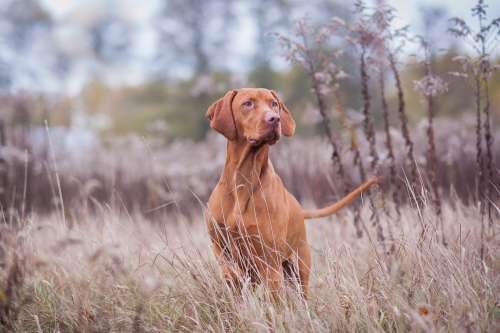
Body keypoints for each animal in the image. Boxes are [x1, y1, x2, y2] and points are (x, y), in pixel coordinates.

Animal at [205, 87, 376, 296]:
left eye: (273, 104)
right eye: (247, 104)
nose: (274, 119)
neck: (243, 180)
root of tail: (300, 209)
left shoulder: (269, 264)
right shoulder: (220, 247)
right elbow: (230, 273)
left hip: (298, 268)